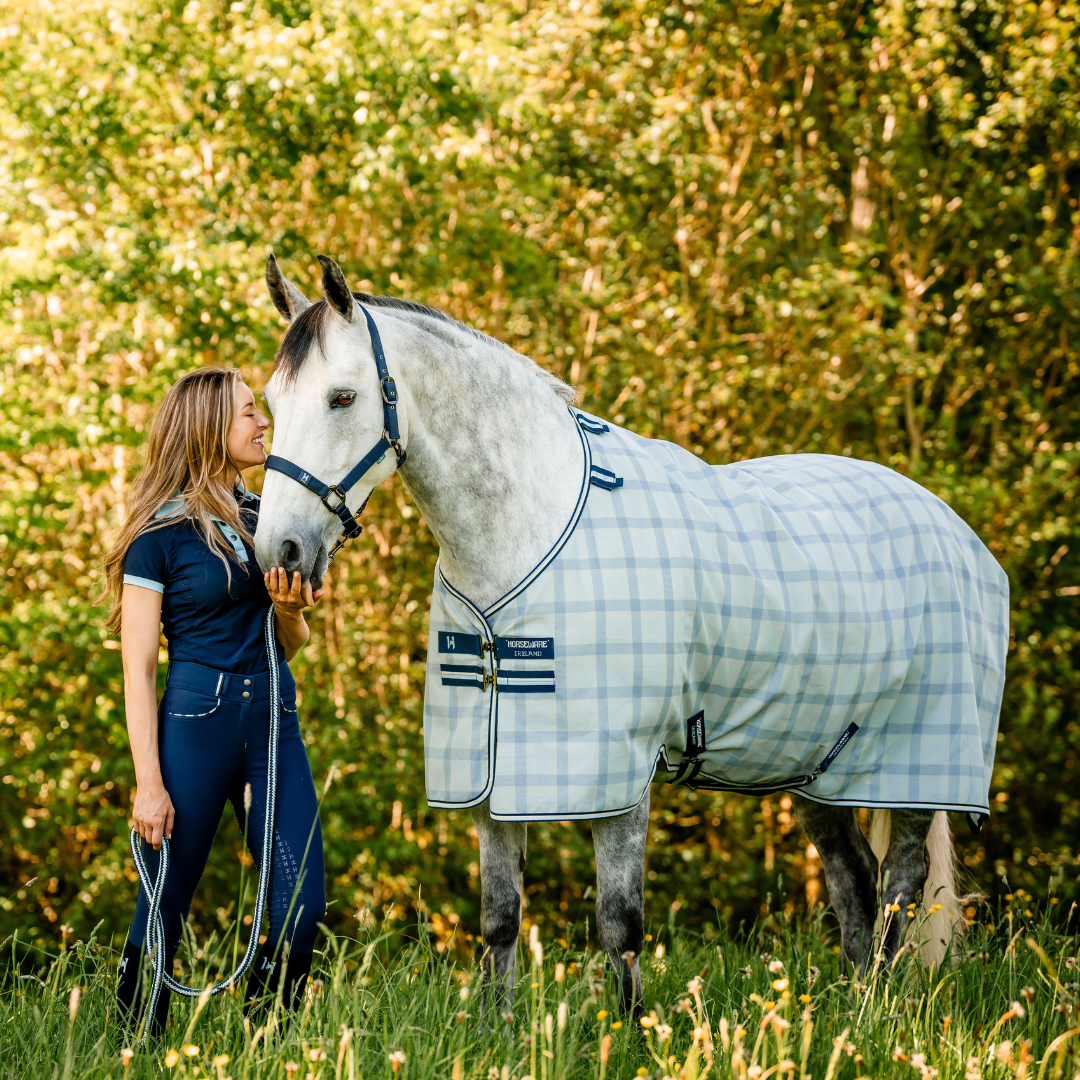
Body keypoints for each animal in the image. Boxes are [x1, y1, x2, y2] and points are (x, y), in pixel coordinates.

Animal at [252, 254, 1008, 1012]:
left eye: (342, 398)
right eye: (272, 404)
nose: (277, 553)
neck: (528, 527)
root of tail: (949, 524)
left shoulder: (616, 775)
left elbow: (620, 923)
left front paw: (627, 1029)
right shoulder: (490, 771)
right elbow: (499, 919)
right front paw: (497, 1027)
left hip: (915, 760)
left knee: (901, 885)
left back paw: (885, 1008)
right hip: (818, 761)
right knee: (854, 881)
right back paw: (855, 1010)